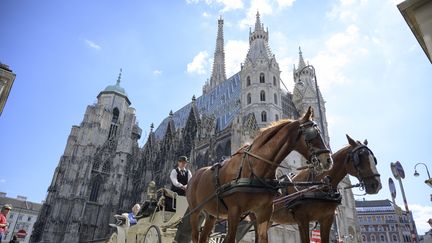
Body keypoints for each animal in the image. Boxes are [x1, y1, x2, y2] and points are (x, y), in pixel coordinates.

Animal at [185, 107, 330, 243]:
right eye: (312, 133)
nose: (328, 160)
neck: (256, 168)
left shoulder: (264, 212)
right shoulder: (234, 211)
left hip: (211, 214)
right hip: (195, 212)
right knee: (194, 236)